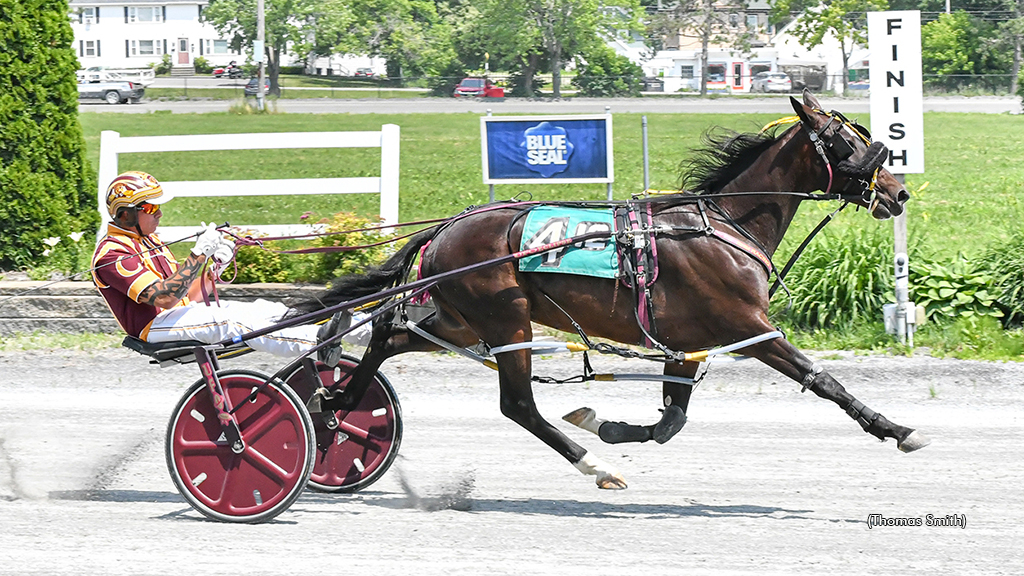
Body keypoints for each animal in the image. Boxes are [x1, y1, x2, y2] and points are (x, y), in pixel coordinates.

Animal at [301, 91, 929, 485]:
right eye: (849, 141)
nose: (897, 192)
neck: (724, 225)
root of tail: (446, 226)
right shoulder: (748, 328)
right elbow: (822, 379)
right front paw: (897, 429)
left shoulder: (687, 341)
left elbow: (671, 420)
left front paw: (605, 422)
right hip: (505, 318)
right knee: (517, 403)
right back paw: (595, 468)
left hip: (461, 318)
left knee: (388, 332)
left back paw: (335, 408)